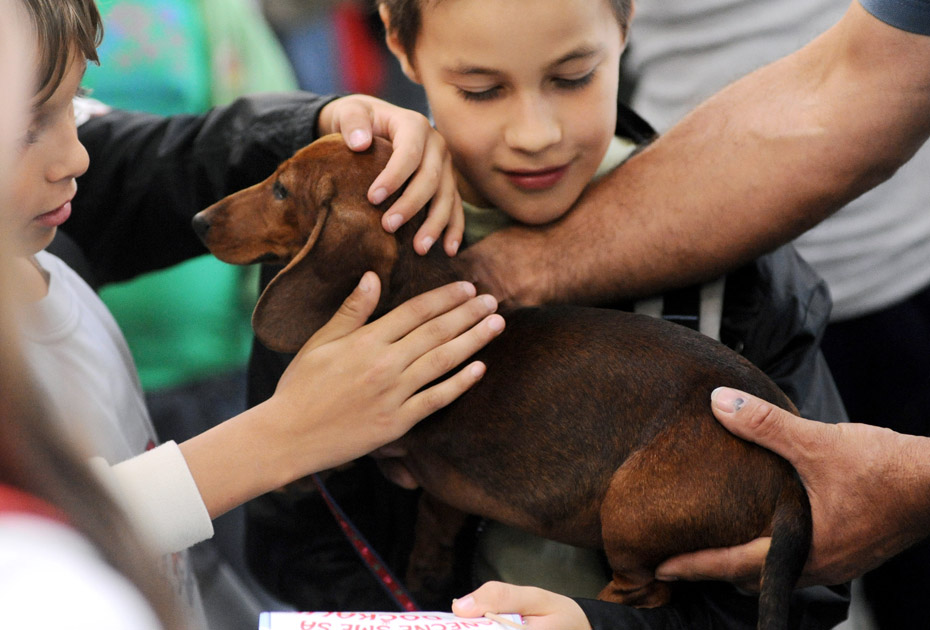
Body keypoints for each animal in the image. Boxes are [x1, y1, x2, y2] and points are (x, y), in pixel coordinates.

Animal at [193, 134, 811, 630]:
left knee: (645, 590)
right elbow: (431, 529)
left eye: (281, 189)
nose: (198, 221)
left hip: (629, 509)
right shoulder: (440, 496)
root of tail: (792, 477)